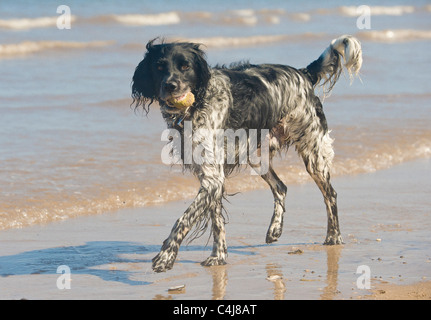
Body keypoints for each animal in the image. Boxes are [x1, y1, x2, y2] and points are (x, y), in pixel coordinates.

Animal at [132, 35, 364, 272]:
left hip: (312, 152)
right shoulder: (212, 178)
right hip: (256, 156)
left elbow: (183, 219)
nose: (170, 85)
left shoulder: (213, 179)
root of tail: (303, 74)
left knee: (330, 194)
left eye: (185, 66)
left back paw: (333, 236)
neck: (197, 106)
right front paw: (218, 256)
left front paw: (166, 256)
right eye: (159, 67)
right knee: (281, 187)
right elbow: (217, 222)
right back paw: (275, 229)